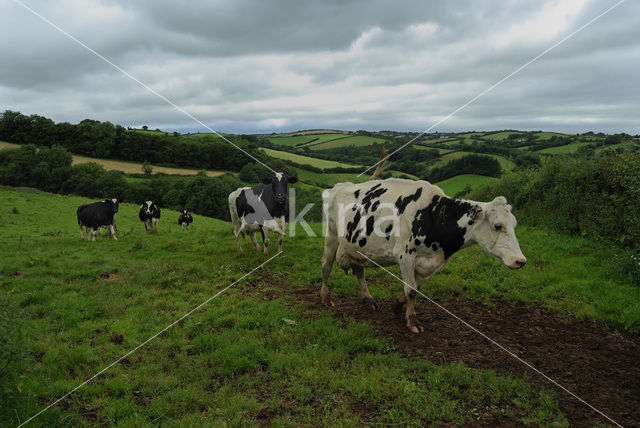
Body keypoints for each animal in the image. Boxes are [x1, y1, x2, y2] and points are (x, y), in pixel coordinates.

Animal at [322, 179, 528, 332]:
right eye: (498, 226)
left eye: (514, 225)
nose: (520, 261)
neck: (434, 215)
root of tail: (339, 185)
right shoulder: (405, 255)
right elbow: (411, 289)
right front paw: (412, 321)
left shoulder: (428, 262)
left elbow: (415, 287)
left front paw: (397, 305)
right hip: (331, 235)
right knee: (326, 266)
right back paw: (325, 298)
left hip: (357, 247)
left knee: (359, 271)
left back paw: (368, 299)